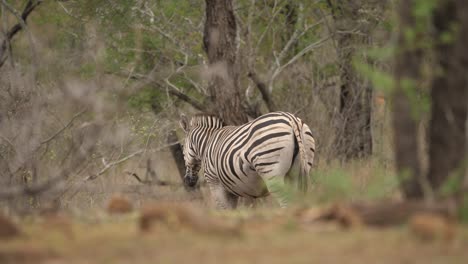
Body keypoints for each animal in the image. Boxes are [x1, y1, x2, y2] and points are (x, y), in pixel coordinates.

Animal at [178, 111, 314, 208]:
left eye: (182, 148)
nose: (188, 181)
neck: (207, 143)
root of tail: (291, 119)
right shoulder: (231, 191)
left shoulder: (215, 183)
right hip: (298, 171)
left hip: (271, 170)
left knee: (286, 202)